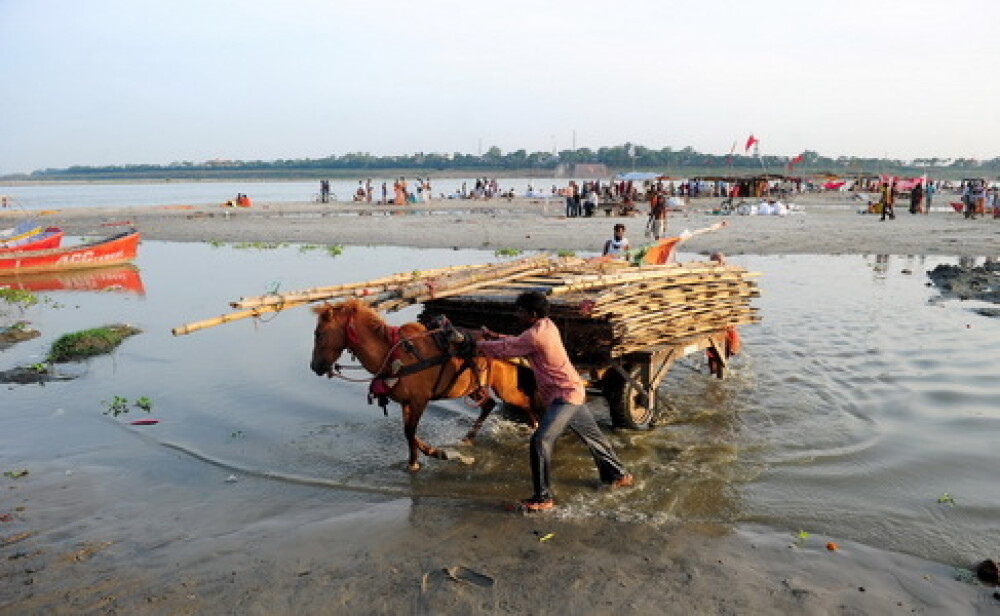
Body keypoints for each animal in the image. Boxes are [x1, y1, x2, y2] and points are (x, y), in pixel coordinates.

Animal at [310, 300, 540, 472]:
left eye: (318, 333)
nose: (314, 366)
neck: (391, 354)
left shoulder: (420, 400)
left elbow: (410, 431)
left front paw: (434, 454)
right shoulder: (406, 402)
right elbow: (408, 433)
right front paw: (418, 459)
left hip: (507, 390)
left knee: (526, 403)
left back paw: (534, 428)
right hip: (473, 388)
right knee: (489, 404)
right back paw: (468, 438)